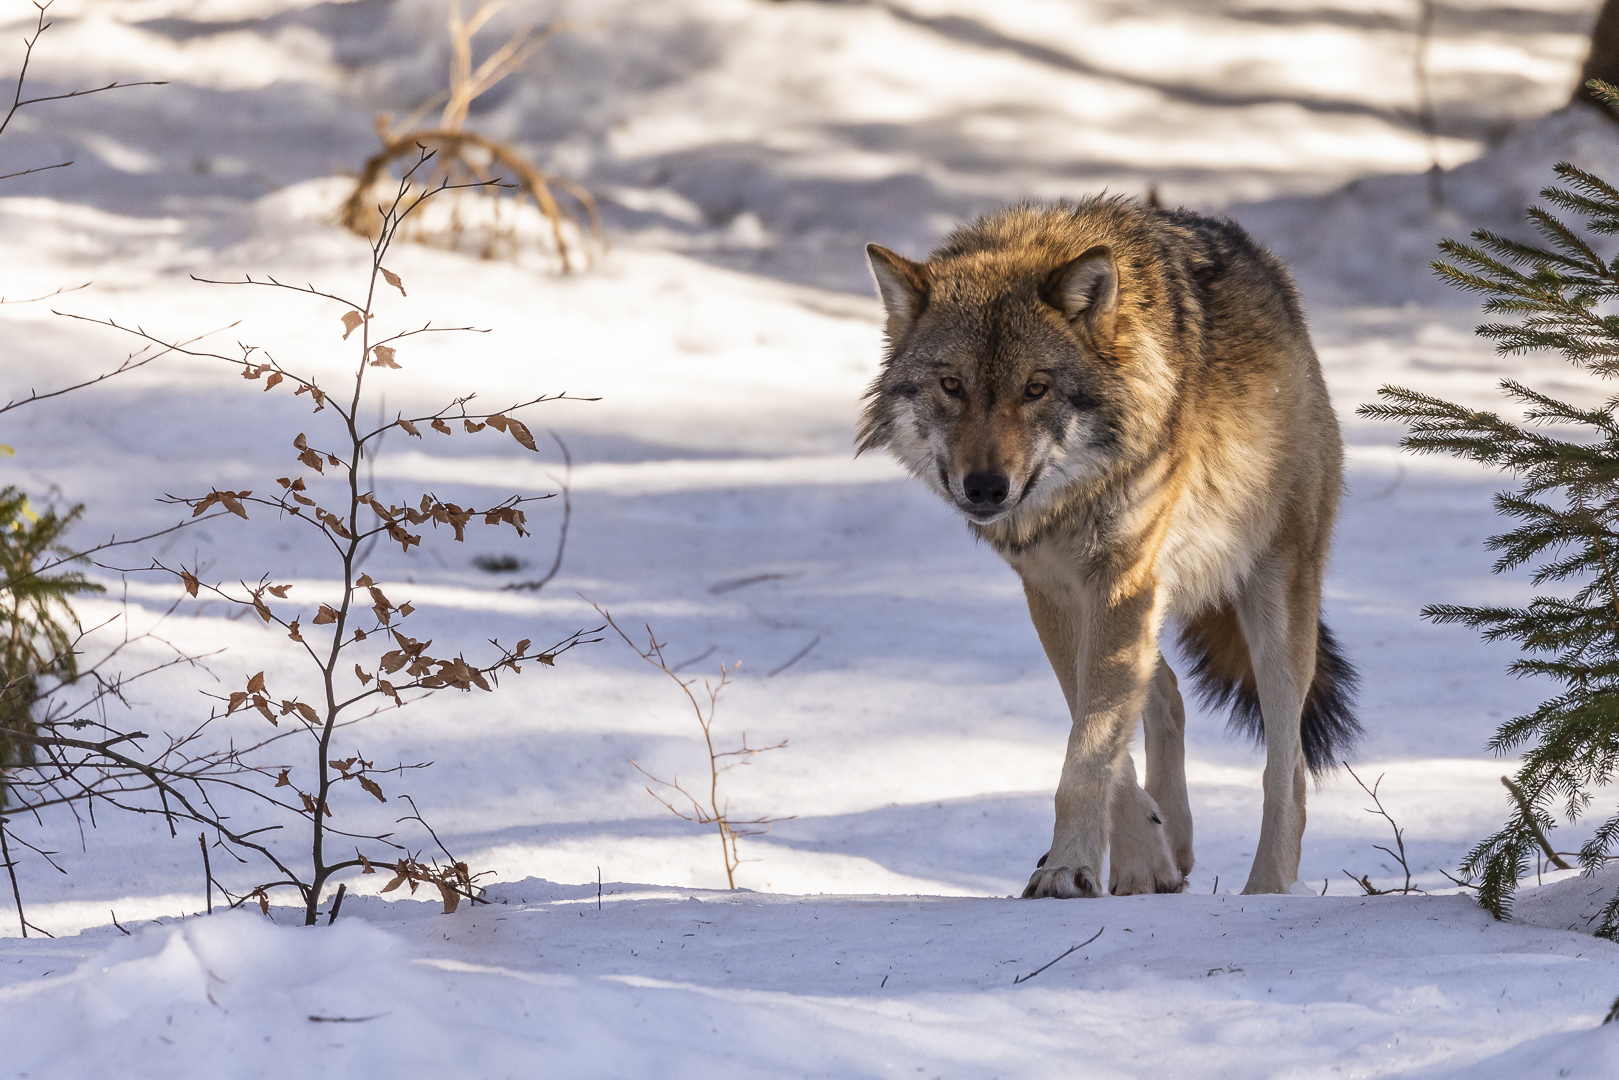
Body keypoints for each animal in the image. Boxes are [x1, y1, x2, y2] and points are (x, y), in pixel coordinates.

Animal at [861, 198, 1353, 900]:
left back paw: (1265, 891)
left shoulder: (1120, 581)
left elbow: (1088, 751)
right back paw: (1174, 841)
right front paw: (1144, 860)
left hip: (1274, 599)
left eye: (1036, 388)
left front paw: (1070, 867)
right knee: (1167, 690)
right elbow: (1094, 734)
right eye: (952, 385)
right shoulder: (1055, 592)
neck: (1073, 496)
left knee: (1286, 770)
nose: (984, 487)